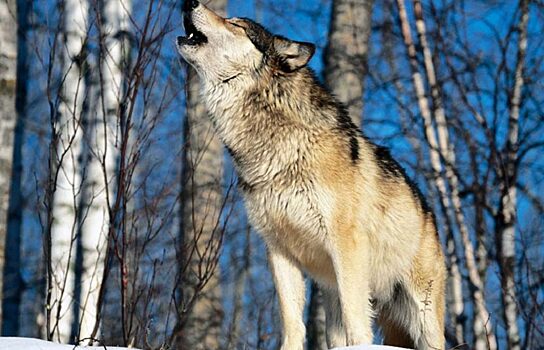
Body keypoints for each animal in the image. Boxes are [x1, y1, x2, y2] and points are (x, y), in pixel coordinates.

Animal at [176, 1, 444, 348]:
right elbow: (292, 320)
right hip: (335, 296)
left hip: (422, 313)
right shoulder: (279, 250)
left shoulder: (346, 244)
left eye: (236, 24)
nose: (189, 3)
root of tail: (429, 212)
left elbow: (357, 319)